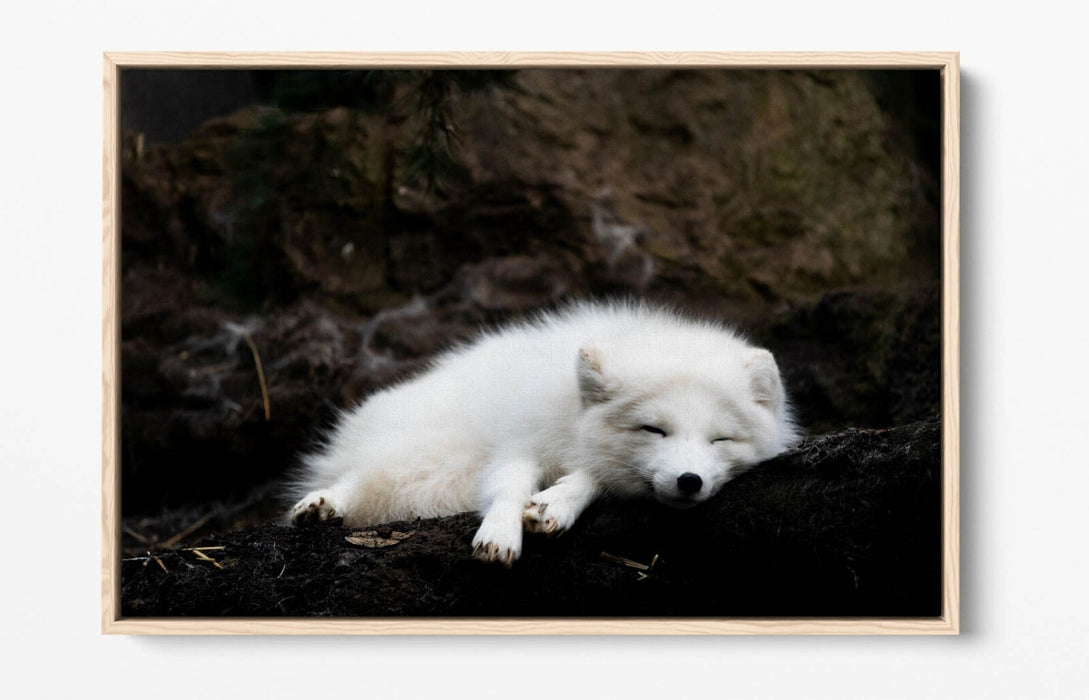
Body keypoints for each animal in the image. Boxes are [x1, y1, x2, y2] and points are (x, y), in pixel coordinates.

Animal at [288, 301, 798, 566]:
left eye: (720, 440)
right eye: (653, 429)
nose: (689, 481)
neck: (569, 412)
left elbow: (593, 477)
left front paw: (556, 503)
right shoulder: (520, 440)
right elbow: (509, 485)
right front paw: (500, 533)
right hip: (425, 454)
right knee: (361, 477)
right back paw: (322, 504)